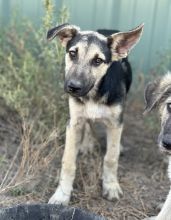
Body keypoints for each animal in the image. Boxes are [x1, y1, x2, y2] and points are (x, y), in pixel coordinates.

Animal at [46, 22, 143, 205]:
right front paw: (62, 194)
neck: (93, 93)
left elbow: (111, 158)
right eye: (72, 53)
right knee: (89, 124)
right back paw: (87, 143)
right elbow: (68, 161)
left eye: (98, 61)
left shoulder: (115, 122)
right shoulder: (74, 122)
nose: (73, 87)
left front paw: (111, 186)